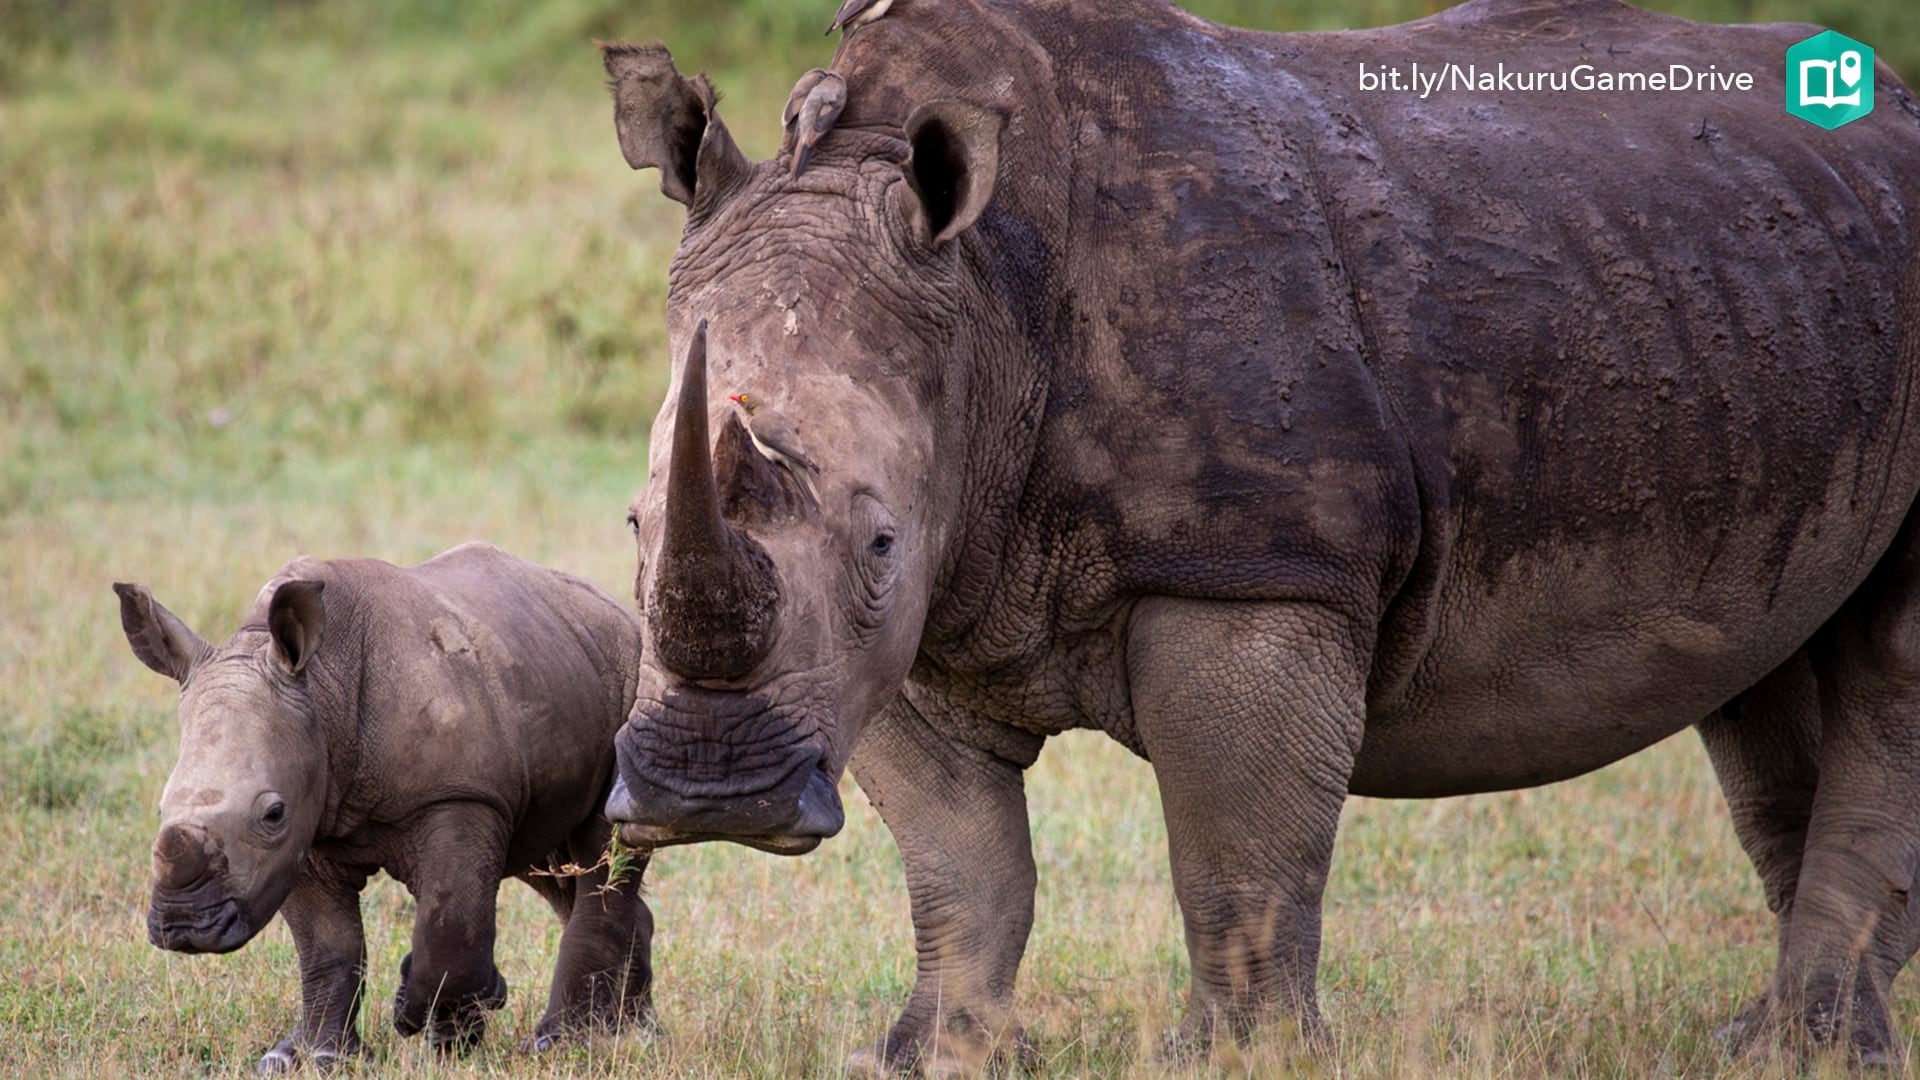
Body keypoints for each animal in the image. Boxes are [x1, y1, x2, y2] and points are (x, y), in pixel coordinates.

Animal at [114, 541, 652, 1060]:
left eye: (272, 813)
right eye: (160, 808)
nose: (185, 926)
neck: (322, 688)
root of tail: (618, 613)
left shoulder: (456, 796)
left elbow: (448, 925)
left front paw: (430, 1018)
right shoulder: (308, 823)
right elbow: (328, 945)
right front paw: (313, 1056)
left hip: (631, 696)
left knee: (600, 856)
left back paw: (561, 1042)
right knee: (548, 859)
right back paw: (632, 1032)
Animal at [599, 0, 1920, 1060]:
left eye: (877, 543)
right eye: (633, 519)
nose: (708, 794)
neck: (980, 301)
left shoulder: (1255, 570)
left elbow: (1237, 856)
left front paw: (1242, 1057)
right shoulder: (922, 607)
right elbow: (963, 866)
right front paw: (933, 1055)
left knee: (1882, 668)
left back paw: (1810, 1047)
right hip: (1757, 311)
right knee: (1768, 666)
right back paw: (1767, 1043)